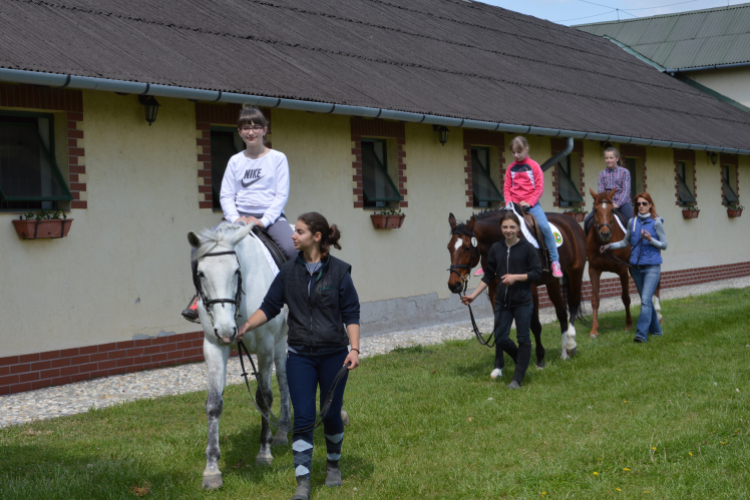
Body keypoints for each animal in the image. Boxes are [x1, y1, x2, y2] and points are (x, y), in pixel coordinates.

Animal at [188, 223, 290, 488]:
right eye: (200, 273)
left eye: (236, 271)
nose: (226, 330)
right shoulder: (214, 346)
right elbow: (214, 403)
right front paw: (212, 468)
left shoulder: (265, 346)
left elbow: (264, 398)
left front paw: (264, 452)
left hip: (282, 342)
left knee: (285, 379)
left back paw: (282, 432)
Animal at [588, 189, 664, 338]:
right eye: (595, 209)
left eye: (612, 210)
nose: (604, 233)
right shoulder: (593, 270)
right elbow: (595, 299)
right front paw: (594, 330)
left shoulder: (622, 270)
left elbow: (626, 298)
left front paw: (628, 325)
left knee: (656, 286)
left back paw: (658, 315)